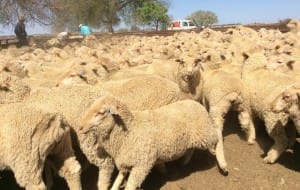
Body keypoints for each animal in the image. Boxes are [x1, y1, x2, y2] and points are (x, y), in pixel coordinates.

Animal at [79, 96, 227, 190]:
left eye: (101, 112)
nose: (80, 127)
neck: (130, 130)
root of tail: (196, 103)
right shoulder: (126, 161)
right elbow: (118, 180)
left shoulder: (142, 165)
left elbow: (129, 186)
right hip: (194, 138)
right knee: (192, 149)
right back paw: (185, 161)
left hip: (205, 133)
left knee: (217, 137)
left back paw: (222, 163)